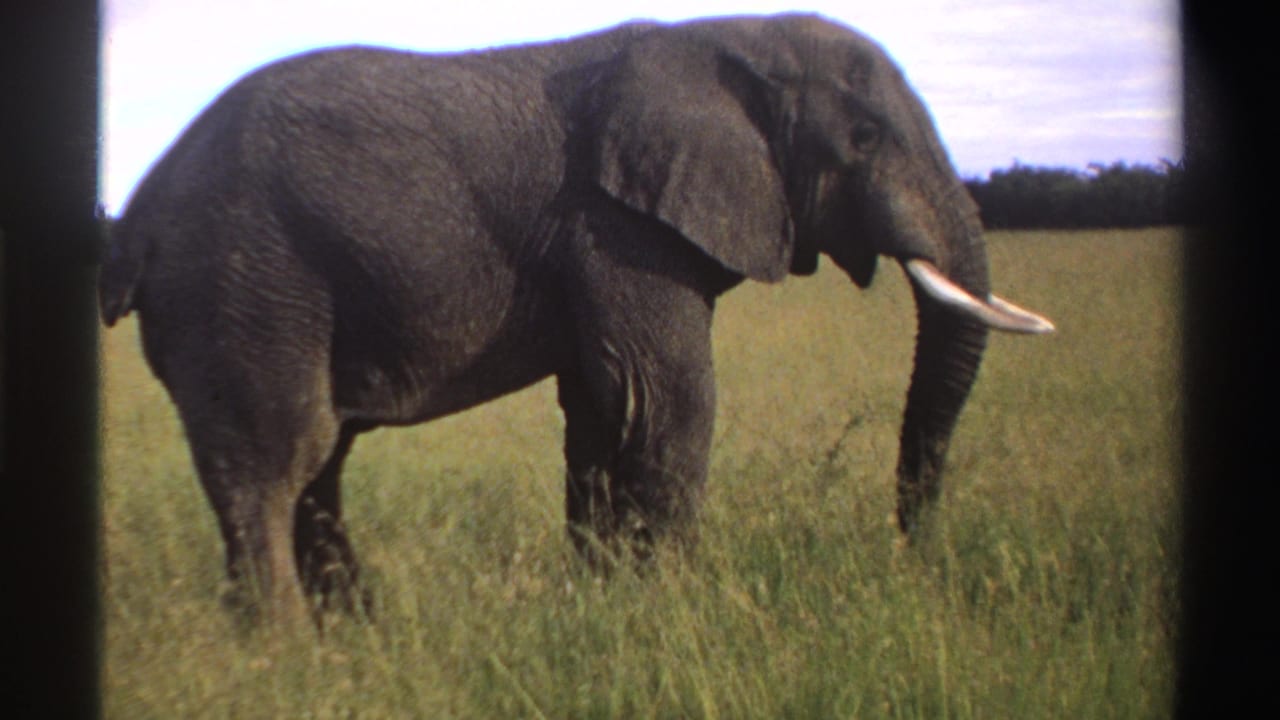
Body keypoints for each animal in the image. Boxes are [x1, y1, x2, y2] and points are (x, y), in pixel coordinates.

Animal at [99, 14, 1052, 625]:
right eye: (863, 137)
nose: (911, 558)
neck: (729, 39)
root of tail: (137, 215)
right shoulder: (615, 225)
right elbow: (666, 401)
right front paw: (674, 613)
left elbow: (603, 412)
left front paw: (603, 606)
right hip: (243, 282)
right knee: (274, 461)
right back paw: (289, 654)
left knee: (316, 470)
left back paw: (354, 641)